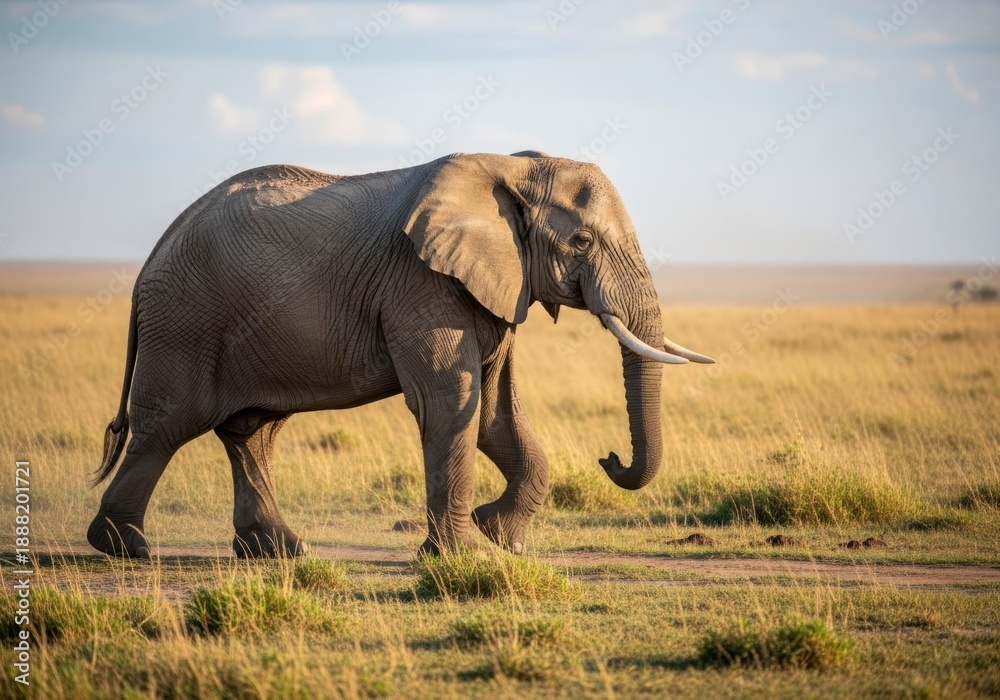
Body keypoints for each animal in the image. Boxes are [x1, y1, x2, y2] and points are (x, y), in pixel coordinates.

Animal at [87, 150, 715, 559]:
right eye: (582, 241)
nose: (609, 457)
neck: (510, 166)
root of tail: (149, 261)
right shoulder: (421, 282)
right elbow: (450, 401)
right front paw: (465, 557)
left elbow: (493, 412)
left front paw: (501, 539)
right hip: (186, 321)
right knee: (168, 426)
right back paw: (125, 548)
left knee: (252, 432)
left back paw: (281, 551)